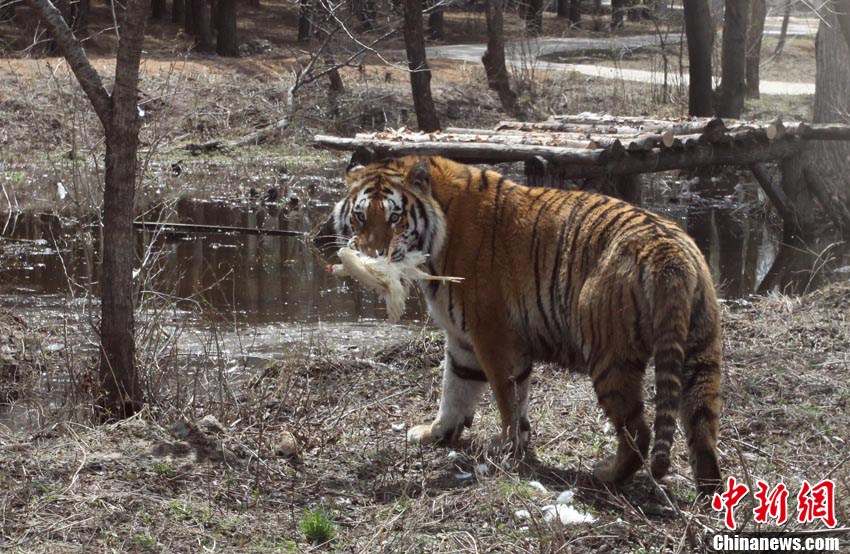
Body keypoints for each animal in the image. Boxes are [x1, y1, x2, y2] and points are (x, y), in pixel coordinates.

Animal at [328, 149, 720, 494]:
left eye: (395, 217)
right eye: (361, 216)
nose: (372, 255)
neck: (438, 231)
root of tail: (667, 248)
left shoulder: (493, 335)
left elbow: (507, 398)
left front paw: (508, 448)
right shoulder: (463, 339)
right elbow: (455, 388)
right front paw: (436, 432)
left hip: (610, 356)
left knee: (638, 431)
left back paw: (605, 475)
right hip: (702, 351)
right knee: (702, 428)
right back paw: (710, 492)